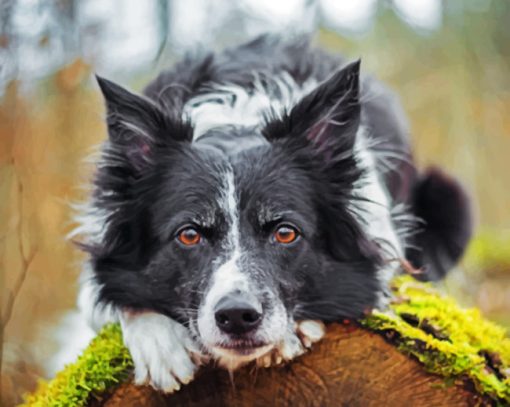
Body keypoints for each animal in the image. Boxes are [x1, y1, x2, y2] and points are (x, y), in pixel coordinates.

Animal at [73, 36, 472, 394]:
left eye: (285, 233)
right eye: (189, 234)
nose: (237, 317)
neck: (234, 125)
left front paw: (291, 331)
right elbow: (112, 295)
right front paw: (160, 344)